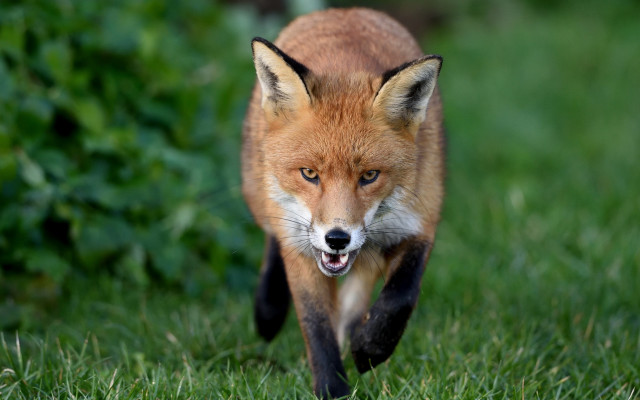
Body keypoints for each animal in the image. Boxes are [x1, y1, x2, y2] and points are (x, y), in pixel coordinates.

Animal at [241, 7, 444, 398]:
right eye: (309, 173)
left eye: (369, 176)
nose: (337, 239)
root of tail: (343, 11)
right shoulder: (301, 249)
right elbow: (316, 324)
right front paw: (332, 388)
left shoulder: (420, 222)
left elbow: (400, 298)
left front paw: (369, 348)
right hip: (260, 196)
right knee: (273, 239)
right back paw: (267, 310)